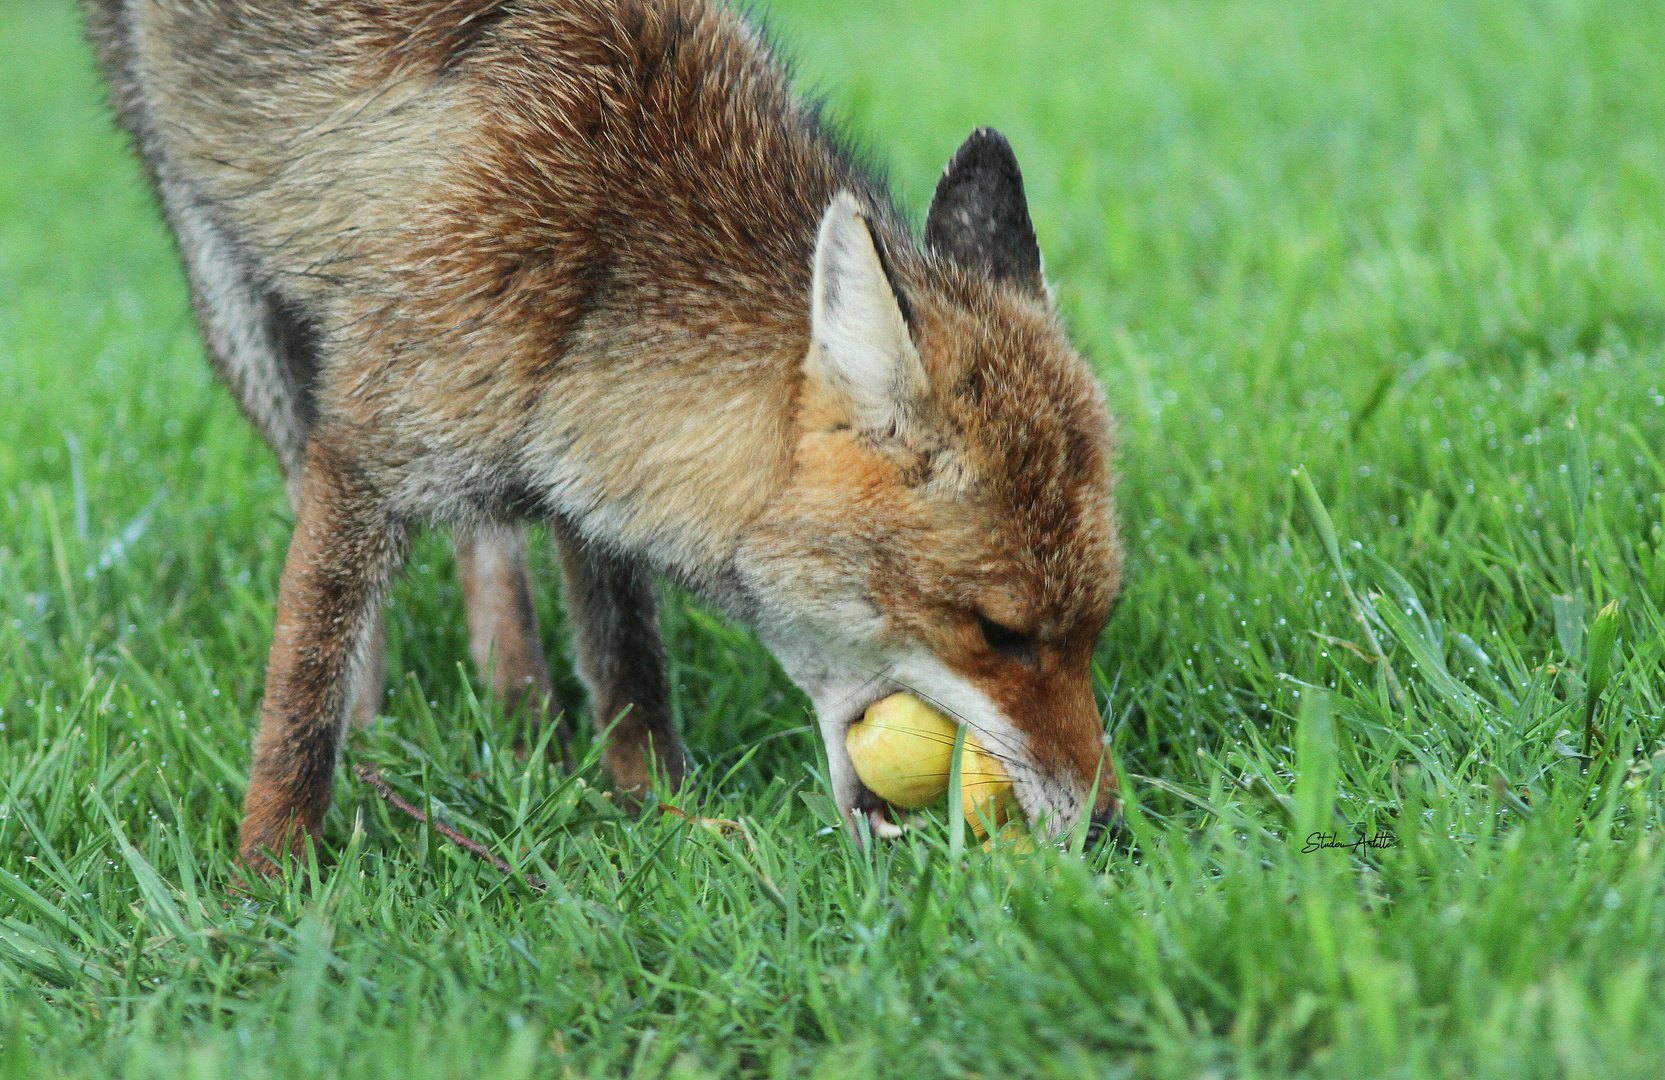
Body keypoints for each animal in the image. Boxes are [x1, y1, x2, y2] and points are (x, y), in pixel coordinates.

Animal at [74, 0, 1118, 871]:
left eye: (1094, 627)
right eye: (998, 634)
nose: (1109, 827)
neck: (604, 238)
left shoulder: (583, 450)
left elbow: (627, 663)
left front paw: (661, 814)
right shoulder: (366, 450)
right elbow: (297, 705)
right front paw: (267, 892)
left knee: (487, 543)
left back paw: (520, 719)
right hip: (233, 294)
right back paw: (377, 733)